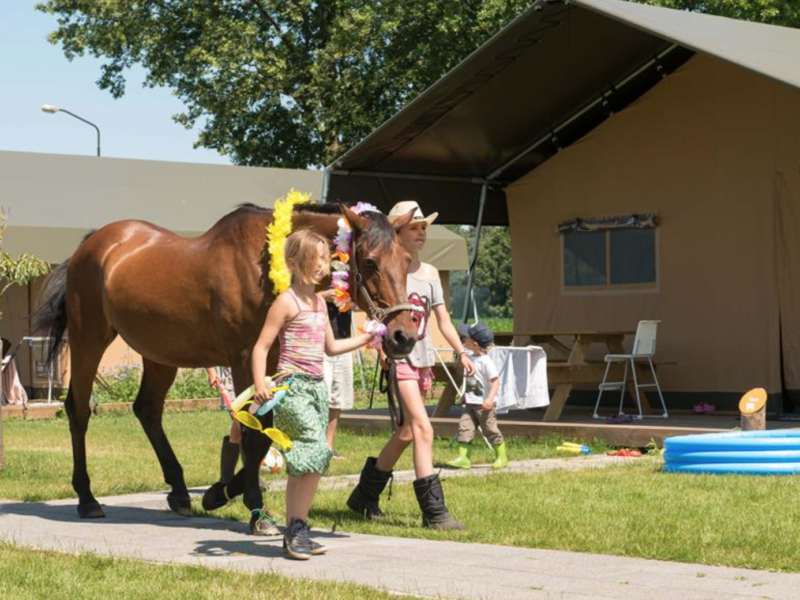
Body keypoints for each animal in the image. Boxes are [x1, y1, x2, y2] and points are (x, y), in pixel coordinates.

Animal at [34, 203, 416, 520]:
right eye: (370, 261)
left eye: (406, 261)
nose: (403, 335)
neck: (265, 263)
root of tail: (91, 245)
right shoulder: (246, 357)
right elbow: (255, 433)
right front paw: (254, 506)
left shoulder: (271, 359)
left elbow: (264, 434)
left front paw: (219, 492)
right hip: (88, 340)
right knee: (79, 410)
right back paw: (87, 498)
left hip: (160, 353)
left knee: (147, 409)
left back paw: (179, 492)